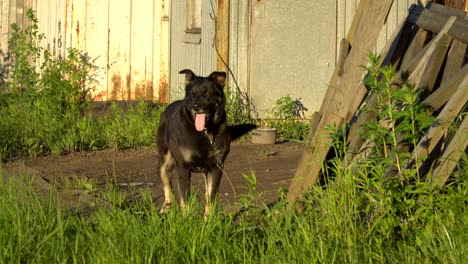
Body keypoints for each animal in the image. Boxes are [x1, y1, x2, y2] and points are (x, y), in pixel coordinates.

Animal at [156, 69, 252, 216]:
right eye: (192, 94)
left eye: (207, 93)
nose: (196, 106)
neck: (205, 132)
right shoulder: (183, 167)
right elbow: (185, 199)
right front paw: (187, 219)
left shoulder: (216, 167)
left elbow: (210, 197)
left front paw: (208, 219)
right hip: (164, 161)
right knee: (167, 183)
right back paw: (166, 207)